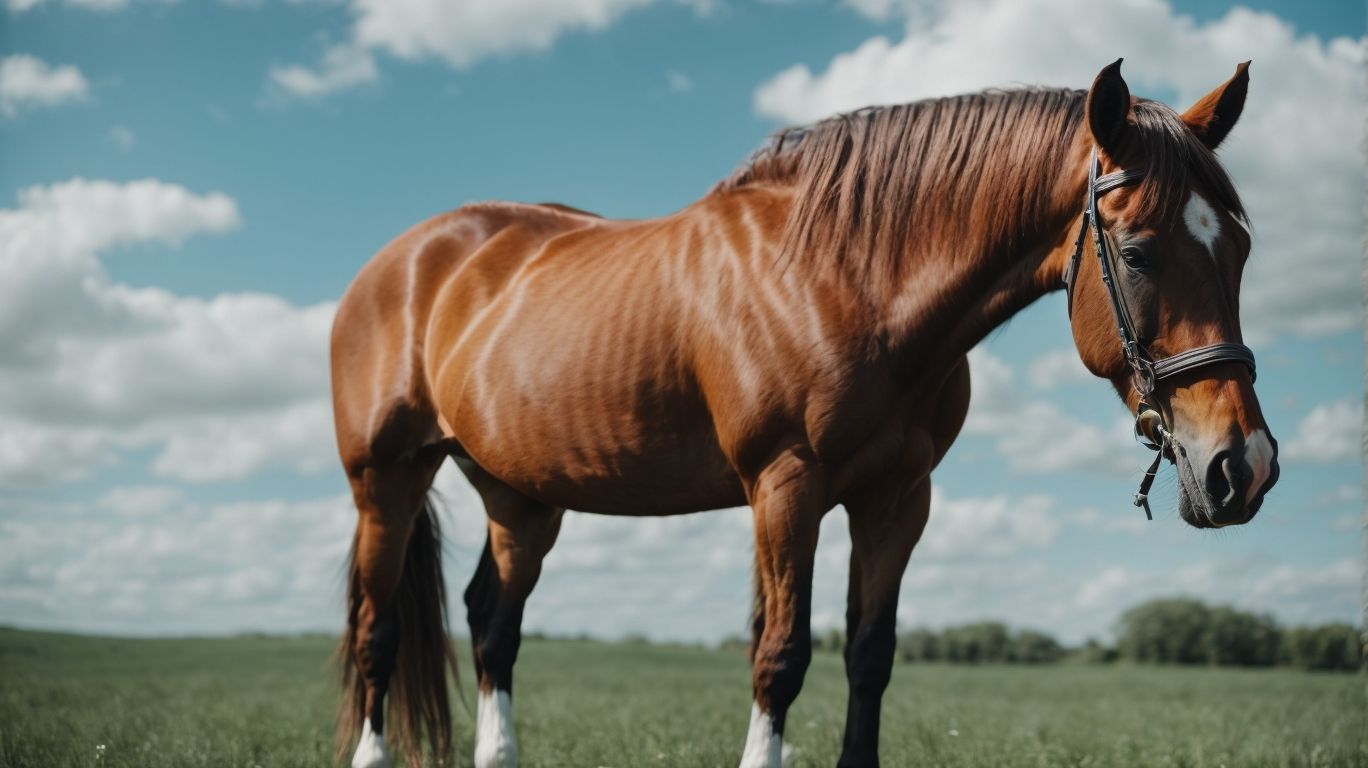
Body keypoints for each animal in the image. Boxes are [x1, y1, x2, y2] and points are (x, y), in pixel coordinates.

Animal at [329, 59, 1278, 768]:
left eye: (1240, 245)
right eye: (1139, 252)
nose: (1244, 466)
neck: (847, 279)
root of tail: (406, 259)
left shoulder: (897, 499)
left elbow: (869, 656)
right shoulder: (786, 488)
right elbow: (780, 656)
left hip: (520, 496)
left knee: (493, 626)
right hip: (387, 480)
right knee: (378, 630)